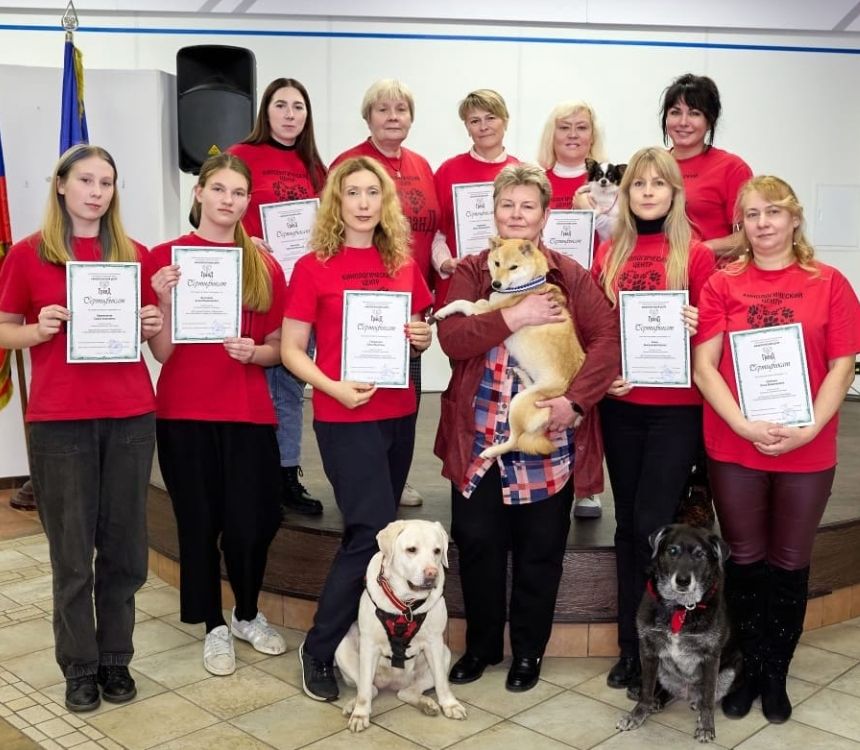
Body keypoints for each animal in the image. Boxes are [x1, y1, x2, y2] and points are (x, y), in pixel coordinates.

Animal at [334, 520, 467, 733]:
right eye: (411, 550)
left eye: (437, 551)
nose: (432, 573)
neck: (406, 603)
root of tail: (392, 684)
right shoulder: (369, 644)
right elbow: (364, 690)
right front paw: (360, 714)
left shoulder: (435, 643)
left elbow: (442, 682)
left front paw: (450, 704)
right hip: (343, 649)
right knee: (369, 688)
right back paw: (352, 706)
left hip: (444, 654)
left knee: (407, 692)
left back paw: (426, 703)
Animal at [432, 236, 586, 458]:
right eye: (496, 263)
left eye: (513, 267)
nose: (496, 283)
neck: (525, 286)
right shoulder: (487, 303)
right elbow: (479, 298)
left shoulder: (485, 310)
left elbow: (463, 302)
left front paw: (443, 311)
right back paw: (521, 374)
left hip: (519, 404)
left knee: (515, 440)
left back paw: (491, 451)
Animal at [617, 524, 741, 744]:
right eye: (672, 551)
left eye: (700, 554)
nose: (683, 581)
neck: (680, 607)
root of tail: (686, 693)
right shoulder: (648, 650)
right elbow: (646, 690)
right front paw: (637, 715)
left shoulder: (711, 657)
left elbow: (709, 696)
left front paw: (706, 726)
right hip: (662, 670)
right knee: (662, 689)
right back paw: (658, 700)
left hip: (734, 667)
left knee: (710, 694)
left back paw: (697, 704)